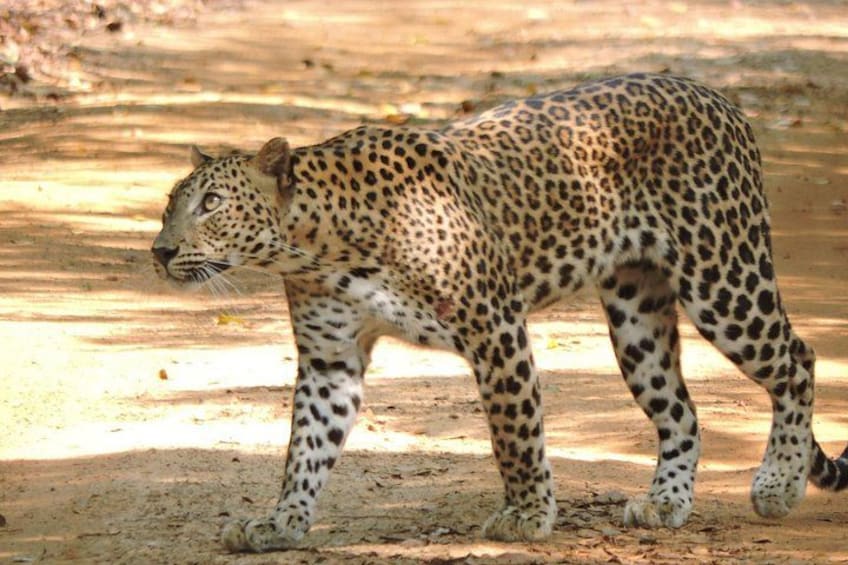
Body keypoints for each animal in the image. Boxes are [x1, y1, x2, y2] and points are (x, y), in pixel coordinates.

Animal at [151, 73, 848, 553]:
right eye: (170, 205)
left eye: (212, 204)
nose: (159, 252)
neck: (317, 247)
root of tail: (717, 98)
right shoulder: (330, 359)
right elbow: (306, 447)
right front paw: (281, 522)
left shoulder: (494, 328)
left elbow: (514, 432)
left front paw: (528, 515)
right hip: (637, 315)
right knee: (680, 411)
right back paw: (665, 504)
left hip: (724, 279)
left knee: (798, 360)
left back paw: (779, 485)